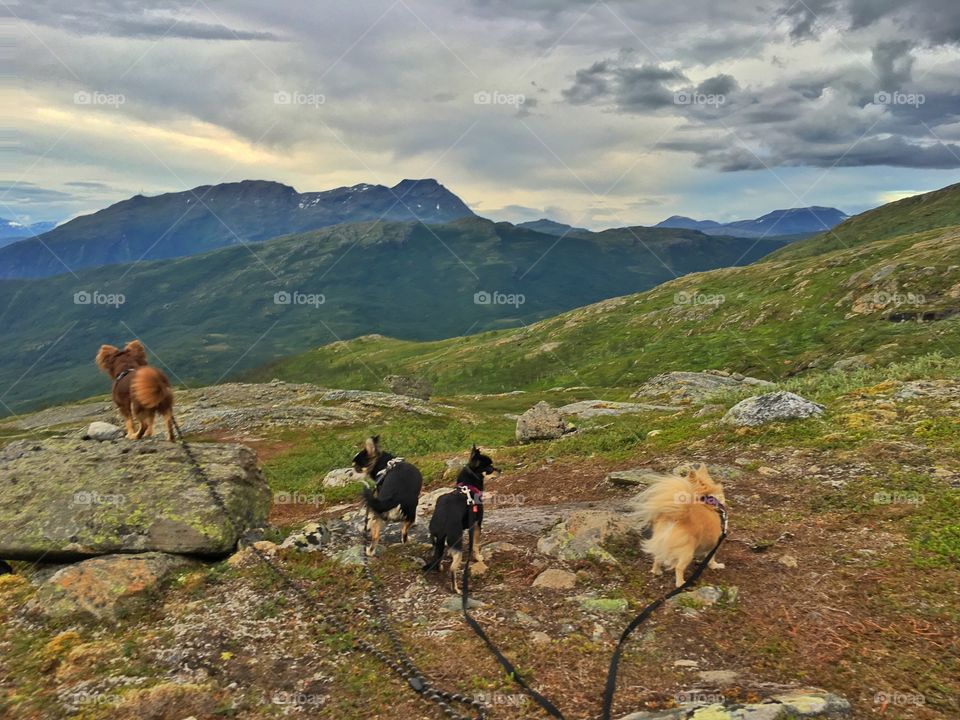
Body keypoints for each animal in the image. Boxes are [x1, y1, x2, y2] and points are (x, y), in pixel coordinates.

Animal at [428, 448, 502, 592]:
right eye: (490, 468)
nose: (500, 469)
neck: (468, 487)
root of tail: (442, 523)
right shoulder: (477, 524)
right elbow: (475, 545)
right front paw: (478, 558)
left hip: (437, 541)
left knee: (437, 556)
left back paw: (439, 567)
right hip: (457, 542)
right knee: (452, 569)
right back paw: (456, 589)